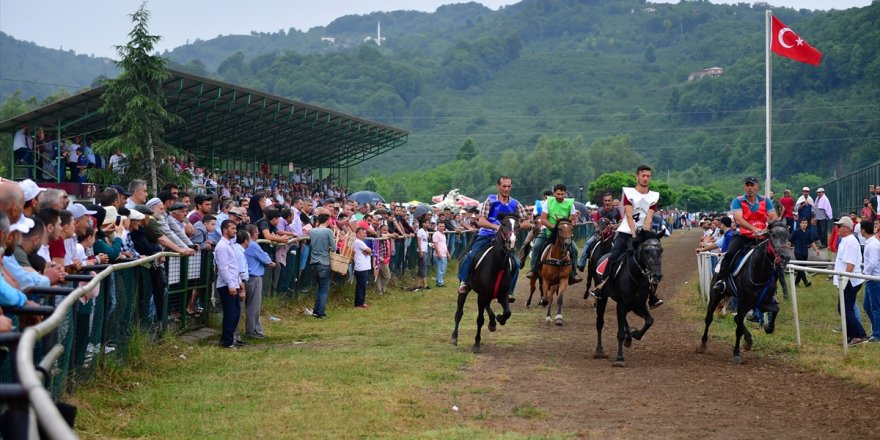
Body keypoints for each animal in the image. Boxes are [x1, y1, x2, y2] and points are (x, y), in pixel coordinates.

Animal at [450, 215, 520, 352]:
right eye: (503, 224)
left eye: (517, 226)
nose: (511, 242)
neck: (497, 265)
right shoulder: (482, 295)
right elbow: (481, 319)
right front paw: (477, 343)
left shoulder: (502, 295)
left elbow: (507, 313)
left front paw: (499, 319)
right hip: (466, 291)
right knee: (459, 313)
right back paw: (454, 338)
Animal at [596, 234, 664, 368]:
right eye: (646, 251)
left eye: (661, 251)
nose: (657, 275)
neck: (635, 276)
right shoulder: (622, 304)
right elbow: (620, 333)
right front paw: (619, 358)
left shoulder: (638, 305)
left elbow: (649, 321)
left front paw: (635, 334)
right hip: (603, 298)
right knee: (600, 322)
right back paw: (599, 350)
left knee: (625, 320)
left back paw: (629, 336)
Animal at [696, 220, 796, 364]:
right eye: (773, 235)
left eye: (788, 236)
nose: (785, 257)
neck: (759, 272)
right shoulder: (743, 302)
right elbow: (738, 329)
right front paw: (736, 353)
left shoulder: (762, 302)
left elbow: (775, 310)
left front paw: (768, 328)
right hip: (716, 295)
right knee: (709, 318)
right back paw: (703, 344)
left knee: (737, 318)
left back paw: (748, 340)